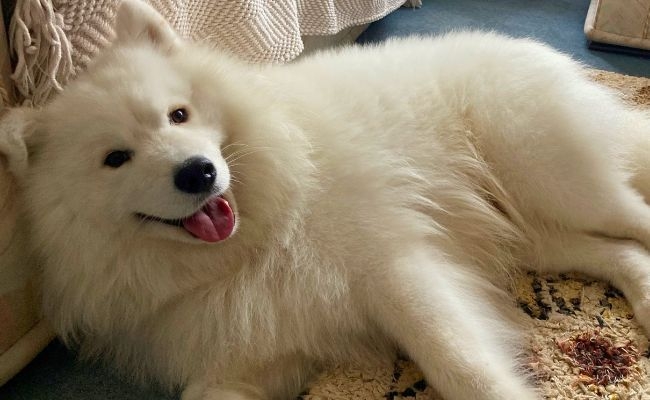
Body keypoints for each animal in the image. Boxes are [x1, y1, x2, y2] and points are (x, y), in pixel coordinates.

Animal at [1, 0, 648, 400]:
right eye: (116, 158)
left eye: (177, 115)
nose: (199, 172)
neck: (259, 239)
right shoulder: (259, 347)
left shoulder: (395, 269)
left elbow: (461, 366)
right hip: (525, 227)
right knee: (618, 251)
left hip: (555, 177)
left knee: (634, 219)